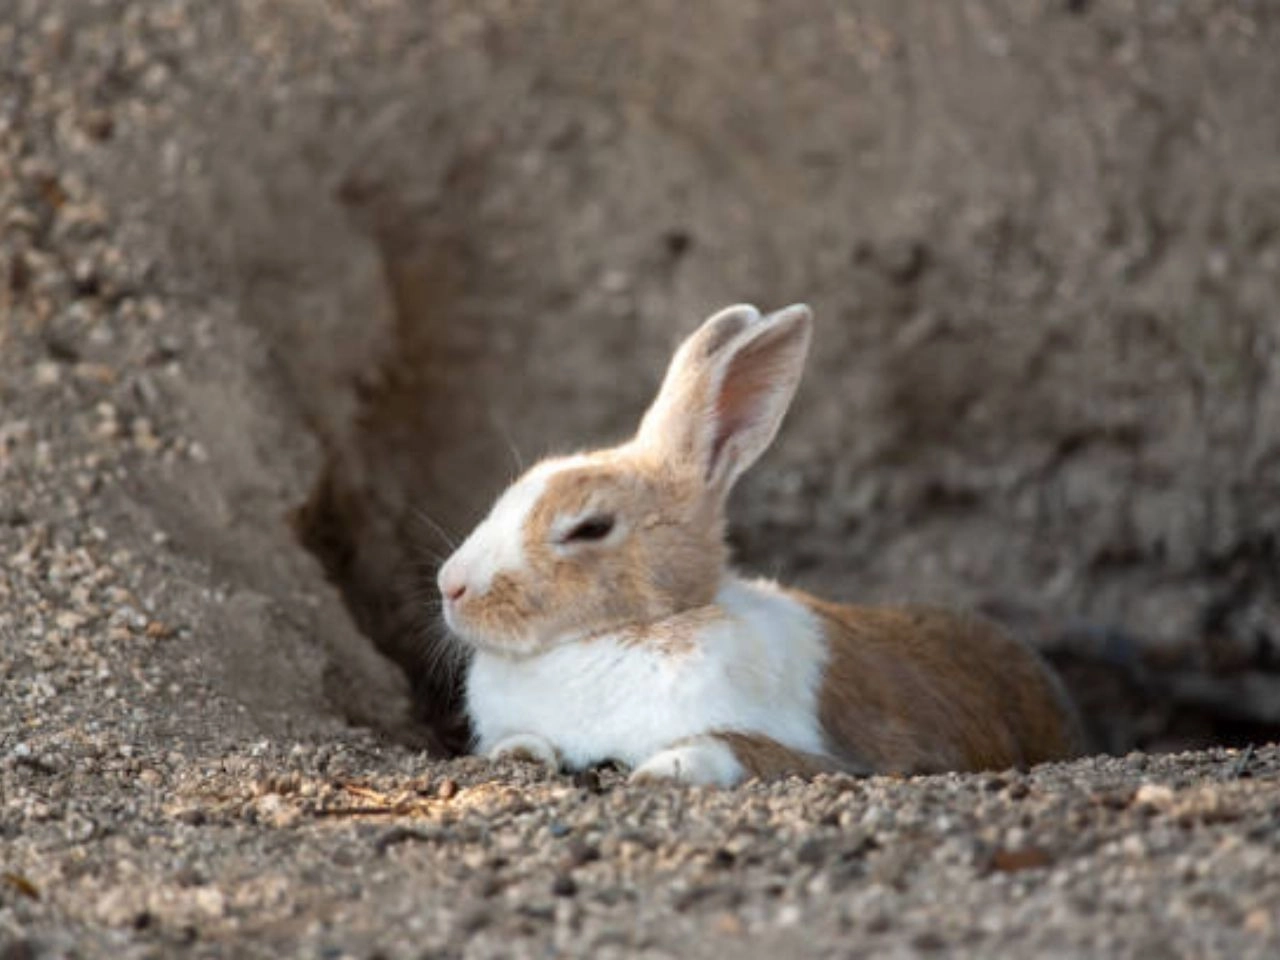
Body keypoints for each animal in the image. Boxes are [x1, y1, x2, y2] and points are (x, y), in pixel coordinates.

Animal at [435, 304, 1085, 783]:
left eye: (589, 527)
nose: (451, 586)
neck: (618, 637)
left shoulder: (833, 755)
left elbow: (729, 745)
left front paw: (661, 770)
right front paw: (518, 754)